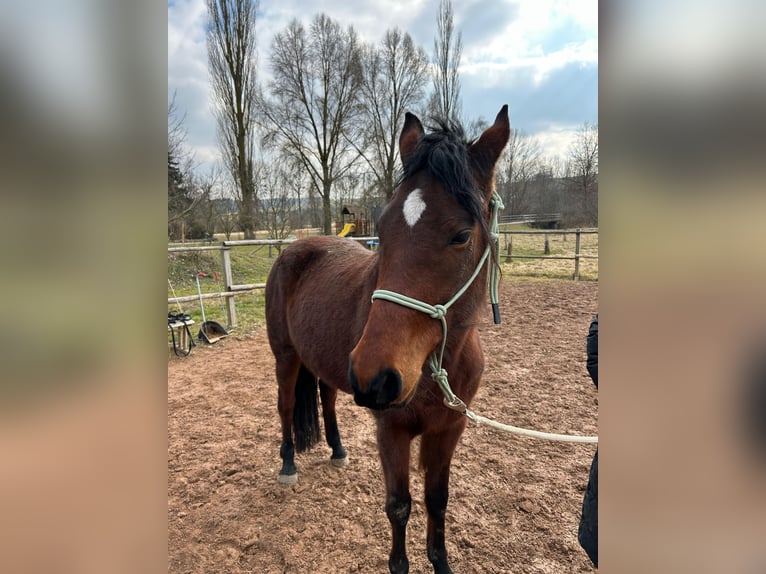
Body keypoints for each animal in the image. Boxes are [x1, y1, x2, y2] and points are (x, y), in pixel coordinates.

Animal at [268, 106, 512, 572]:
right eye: (383, 227)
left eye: (461, 235)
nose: (374, 376)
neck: (439, 365)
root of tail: (294, 248)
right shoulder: (392, 431)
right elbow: (399, 506)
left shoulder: (448, 429)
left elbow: (437, 500)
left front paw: (441, 562)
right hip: (287, 358)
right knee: (287, 406)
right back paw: (288, 465)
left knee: (327, 398)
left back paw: (338, 450)